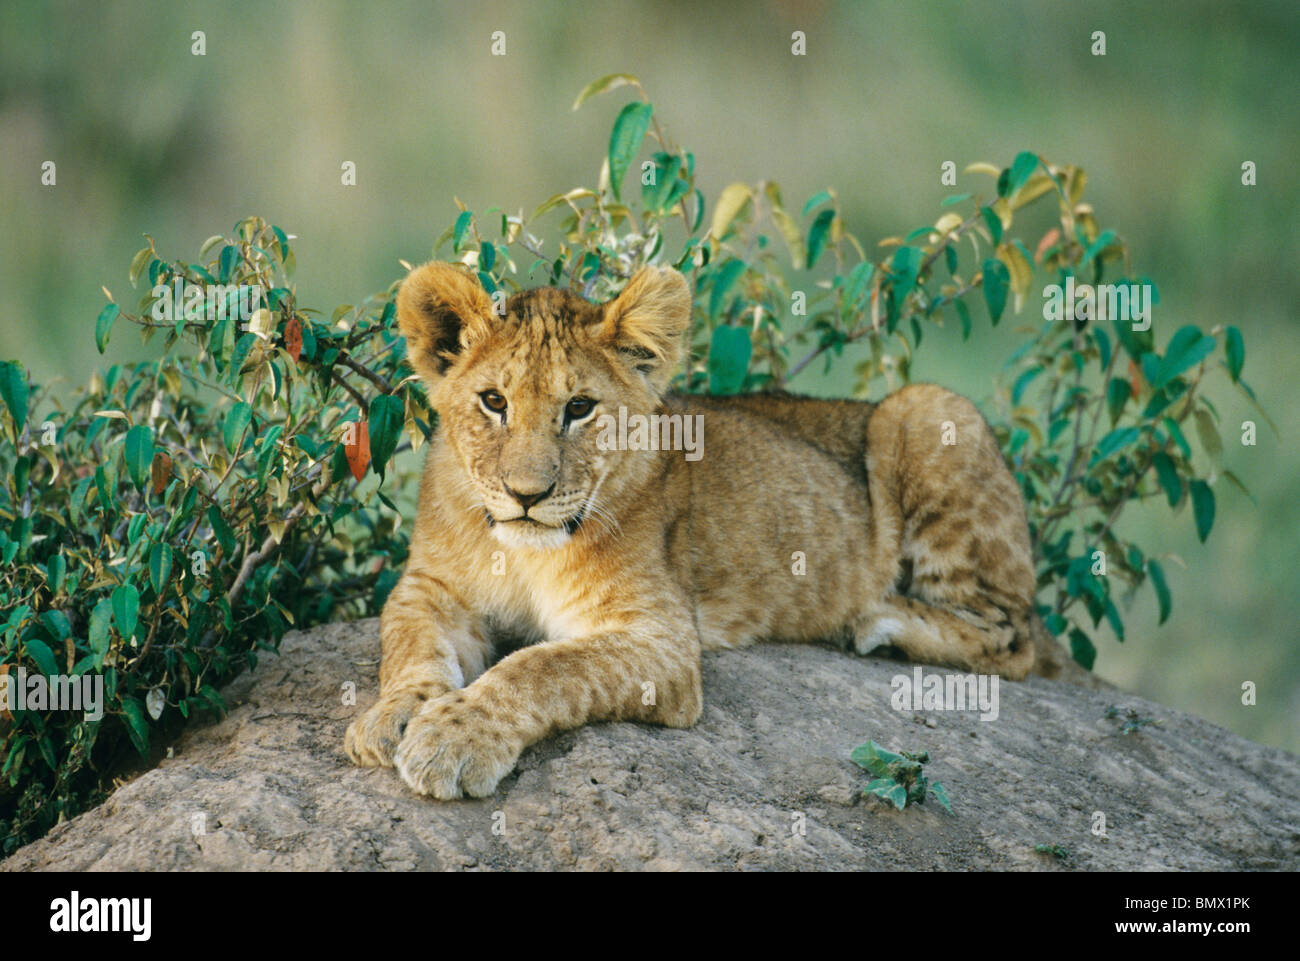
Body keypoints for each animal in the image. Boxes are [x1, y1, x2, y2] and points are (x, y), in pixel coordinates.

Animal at [344, 261, 1072, 798]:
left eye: (579, 408)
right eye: (493, 401)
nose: (528, 496)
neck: (521, 551)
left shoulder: (662, 642)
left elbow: (542, 666)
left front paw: (454, 737)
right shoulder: (429, 588)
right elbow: (409, 646)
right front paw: (392, 716)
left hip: (927, 408)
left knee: (1015, 635)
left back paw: (878, 621)